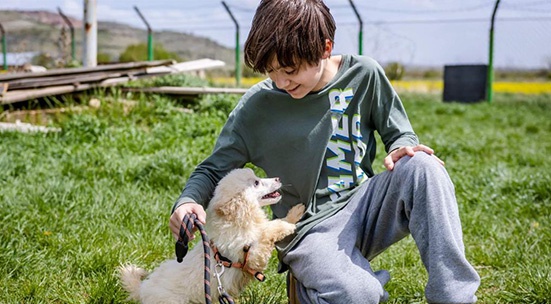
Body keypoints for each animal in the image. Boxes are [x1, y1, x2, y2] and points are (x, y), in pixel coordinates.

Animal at [119, 167, 306, 302]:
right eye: (256, 183)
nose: (278, 179)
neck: (237, 219)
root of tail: (142, 289)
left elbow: (270, 224)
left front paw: (296, 212)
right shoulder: (252, 254)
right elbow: (268, 229)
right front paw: (288, 226)